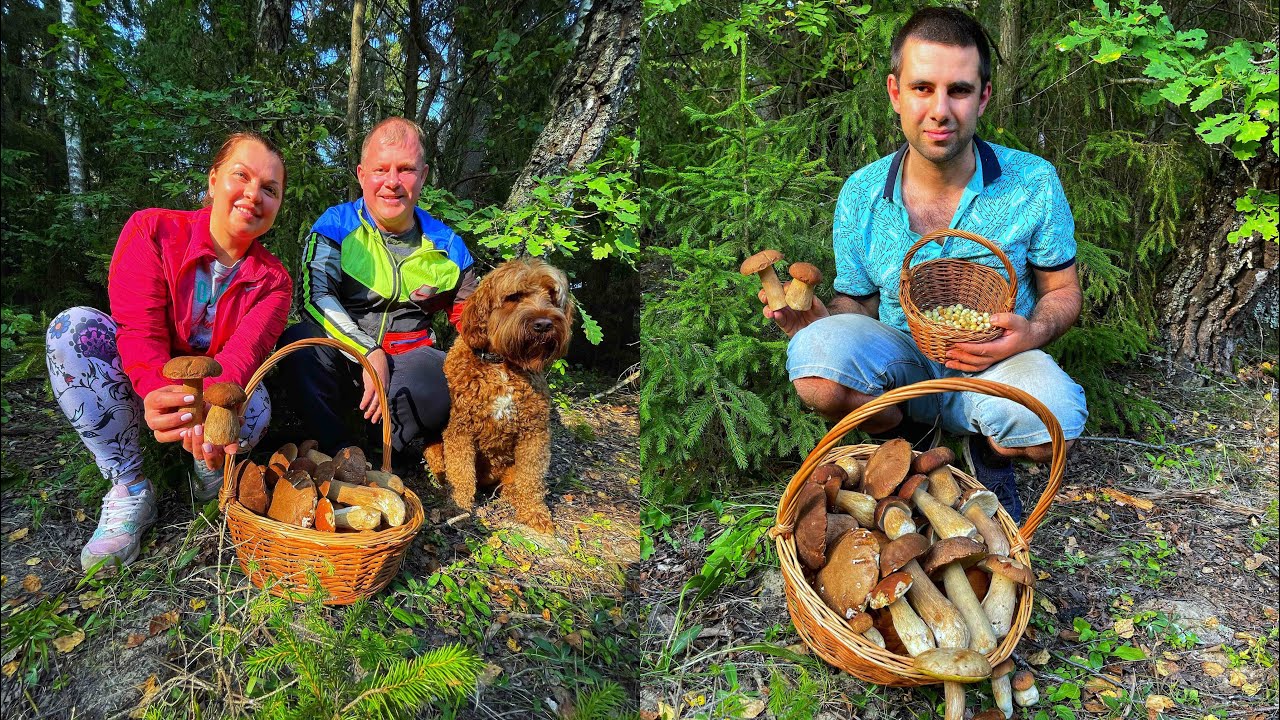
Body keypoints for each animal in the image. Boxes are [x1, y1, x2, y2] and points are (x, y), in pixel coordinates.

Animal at [424, 257, 576, 532]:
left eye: (551, 295)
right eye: (513, 296)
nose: (544, 324)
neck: (501, 364)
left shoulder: (534, 434)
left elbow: (532, 479)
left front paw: (535, 513)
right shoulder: (460, 431)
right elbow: (461, 474)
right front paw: (459, 509)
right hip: (434, 449)